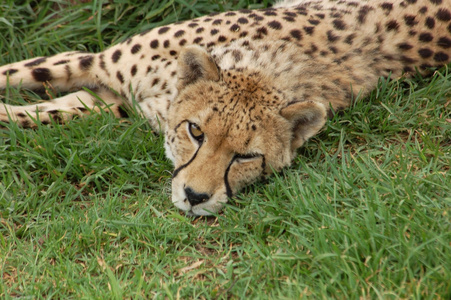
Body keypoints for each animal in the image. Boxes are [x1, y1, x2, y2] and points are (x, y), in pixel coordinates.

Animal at [0, 0, 451, 216]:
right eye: (195, 131)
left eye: (247, 157)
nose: (194, 197)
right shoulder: (96, 63)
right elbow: (20, 72)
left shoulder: (115, 104)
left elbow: (53, 110)